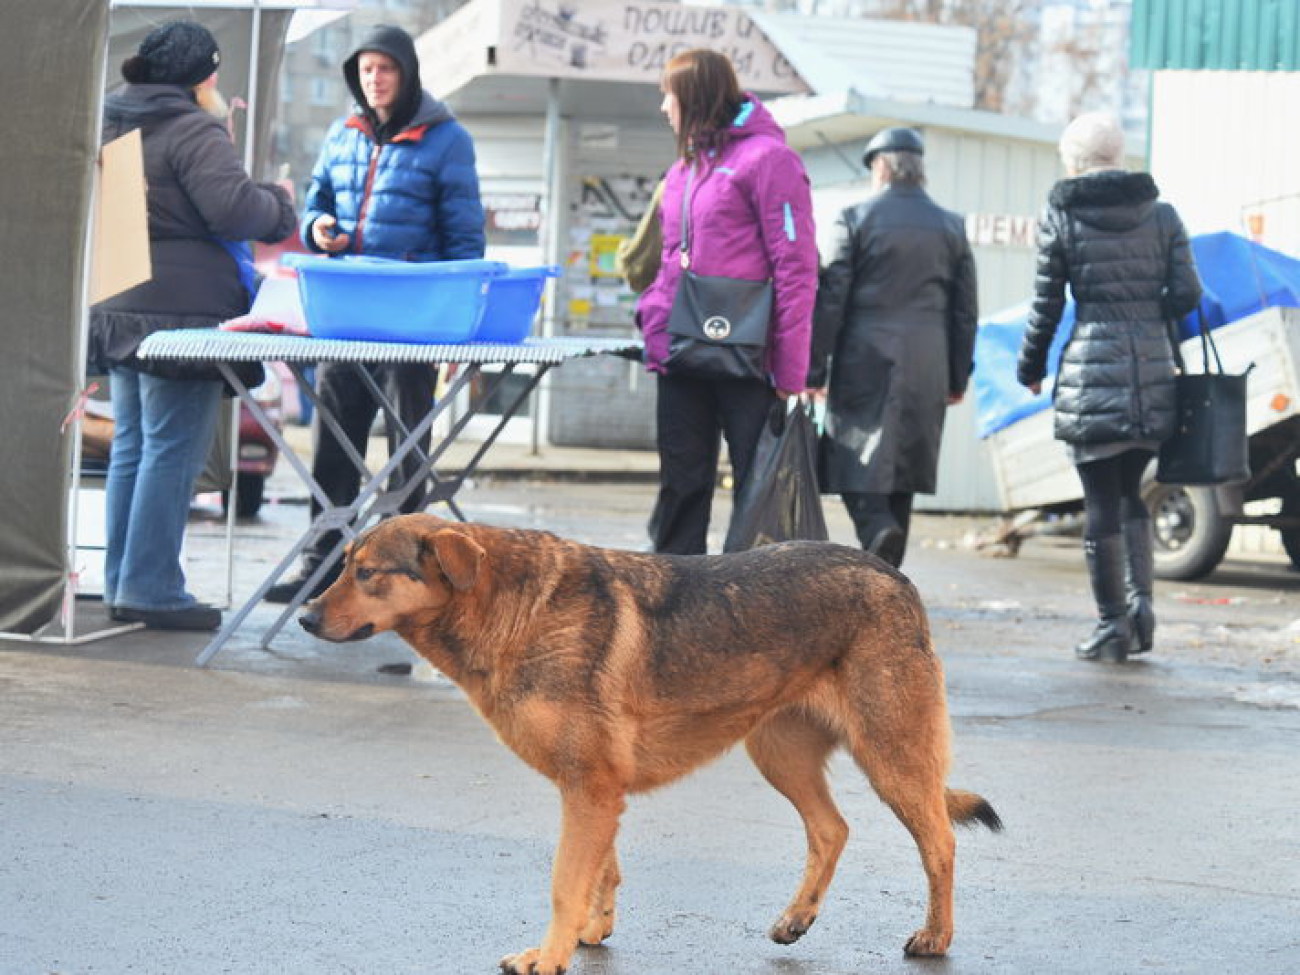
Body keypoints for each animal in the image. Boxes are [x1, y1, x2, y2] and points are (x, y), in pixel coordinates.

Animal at [299, 514, 998, 972]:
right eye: (342, 567)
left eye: (367, 573)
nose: (303, 616)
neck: (513, 608)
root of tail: (893, 574)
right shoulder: (595, 791)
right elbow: (600, 872)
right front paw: (590, 932)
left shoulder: (589, 790)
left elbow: (565, 880)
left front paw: (547, 957)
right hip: (781, 755)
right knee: (832, 830)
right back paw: (797, 917)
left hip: (890, 756)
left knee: (939, 842)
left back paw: (935, 937)